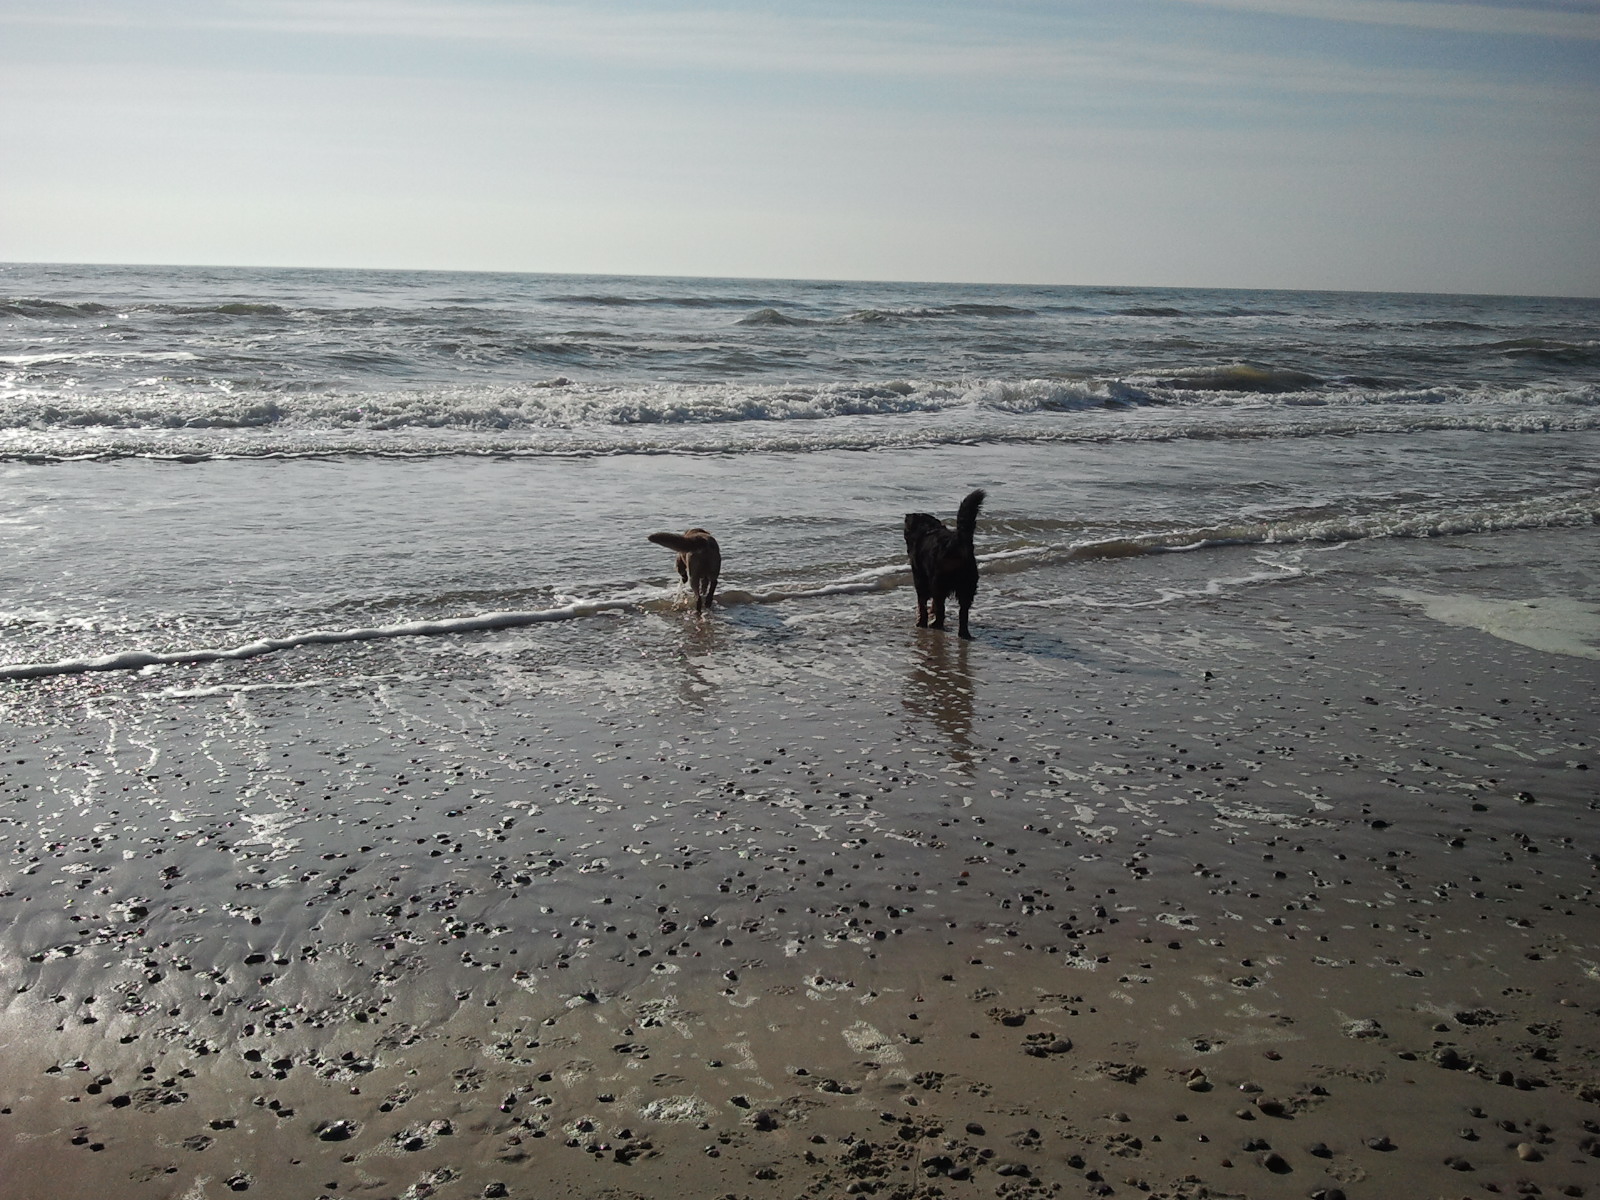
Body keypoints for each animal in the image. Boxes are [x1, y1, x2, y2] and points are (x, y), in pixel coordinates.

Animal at [902, 489, 985, 640]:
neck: (927, 529)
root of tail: (957, 542)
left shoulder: (919, 576)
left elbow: (922, 602)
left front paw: (921, 622)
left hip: (938, 581)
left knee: (941, 609)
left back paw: (936, 625)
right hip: (967, 585)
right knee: (963, 613)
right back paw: (964, 633)